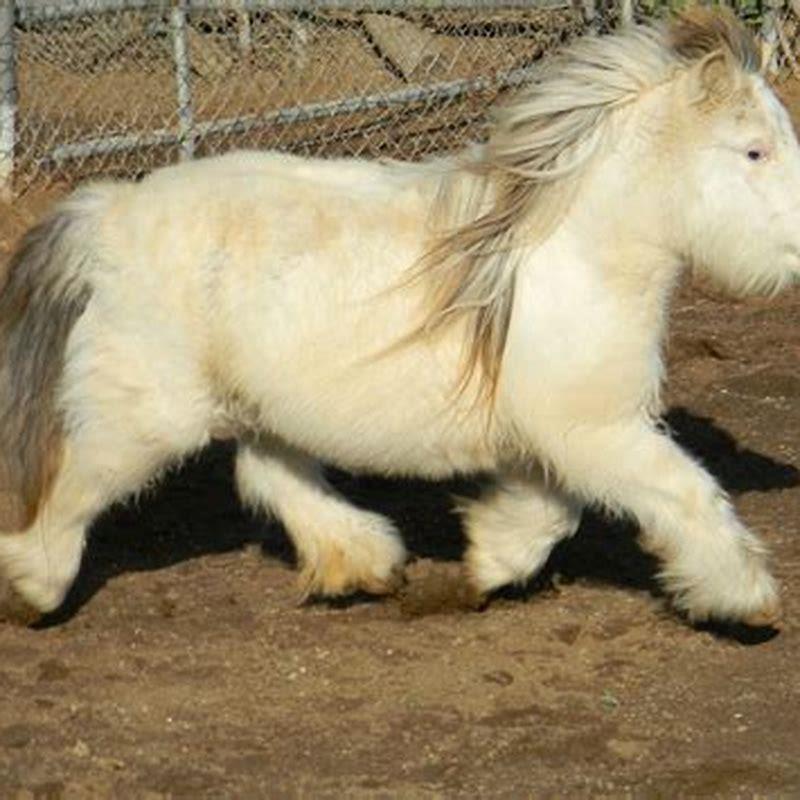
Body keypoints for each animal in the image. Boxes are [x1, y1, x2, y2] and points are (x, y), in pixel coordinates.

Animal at [0, 8, 797, 628]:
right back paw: (31, 588)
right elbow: (684, 493)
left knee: (272, 476)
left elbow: (545, 518)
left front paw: (479, 569)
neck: (567, 250)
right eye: (753, 150)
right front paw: (749, 599)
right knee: (76, 485)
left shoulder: (554, 438)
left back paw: (365, 565)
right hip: (146, 418)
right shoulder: (597, 431)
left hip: (261, 406)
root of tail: (107, 218)